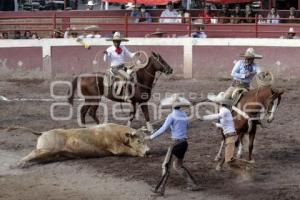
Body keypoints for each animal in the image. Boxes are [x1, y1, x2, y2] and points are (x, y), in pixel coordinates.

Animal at [14, 122, 150, 166]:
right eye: (138, 141)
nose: (148, 151)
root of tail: (43, 132)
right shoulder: (117, 147)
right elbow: (129, 150)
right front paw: (140, 153)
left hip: (49, 152)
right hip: (46, 149)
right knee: (32, 154)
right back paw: (18, 163)